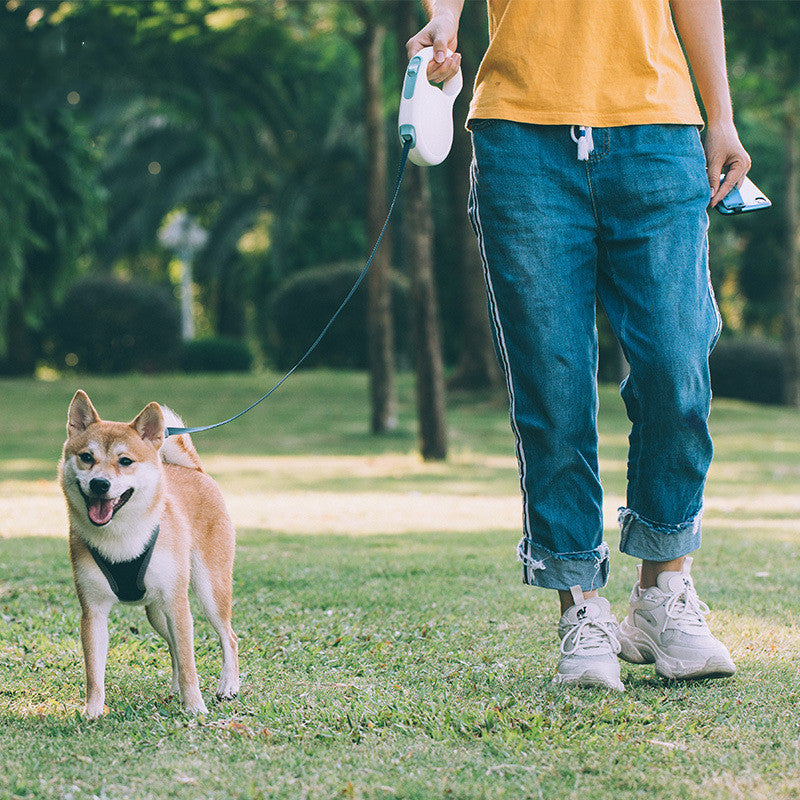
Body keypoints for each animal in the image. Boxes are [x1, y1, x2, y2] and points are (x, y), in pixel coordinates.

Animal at [59, 392, 238, 720]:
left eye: (125, 461)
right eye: (87, 457)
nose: (100, 484)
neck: (121, 536)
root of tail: (194, 471)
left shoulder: (178, 605)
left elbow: (191, 664)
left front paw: (196, 707)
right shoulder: (93, 611)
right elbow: (94, 673)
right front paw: (93, 712)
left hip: (209, 592)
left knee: (227, 637)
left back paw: (228, 686)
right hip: (156, 613)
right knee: (174, 650)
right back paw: (175, 691)